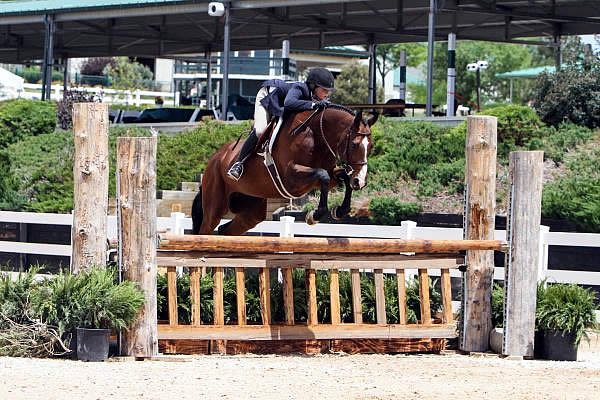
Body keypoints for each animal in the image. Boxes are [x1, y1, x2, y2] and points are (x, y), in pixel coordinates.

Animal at [192, 104, 378, 236]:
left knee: (226, 230)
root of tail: (215, 158)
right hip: (215, 205)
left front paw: (340, 211)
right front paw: (314, 216)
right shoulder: (292, 178)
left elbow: (341, 177)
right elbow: (322, 175)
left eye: (371, 146)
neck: (316, 136)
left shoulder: (327, 175)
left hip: (252, 209)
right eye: (354, 145)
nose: (360, 181)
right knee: (205, 231)